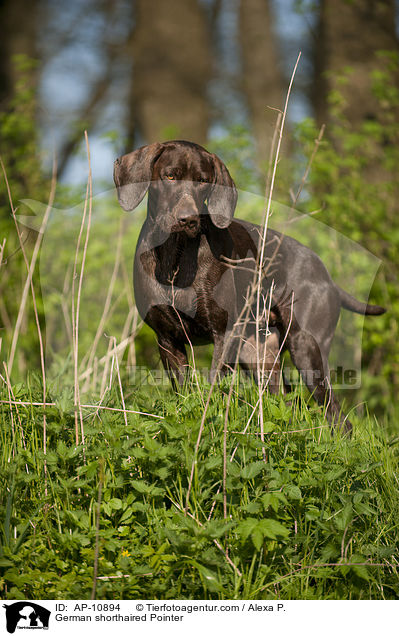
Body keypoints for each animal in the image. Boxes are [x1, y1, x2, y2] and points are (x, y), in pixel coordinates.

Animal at [113, 139, 388, 432]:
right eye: (170, 176)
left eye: (203, 181)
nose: (188, 219)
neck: (175, 256)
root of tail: (328, 278)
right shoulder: (167, 339)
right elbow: (183, 390)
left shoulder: (223, 334)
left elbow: (213, 386)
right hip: (258, 356)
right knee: (286, 399)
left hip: (306, 348)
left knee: (336, 413)